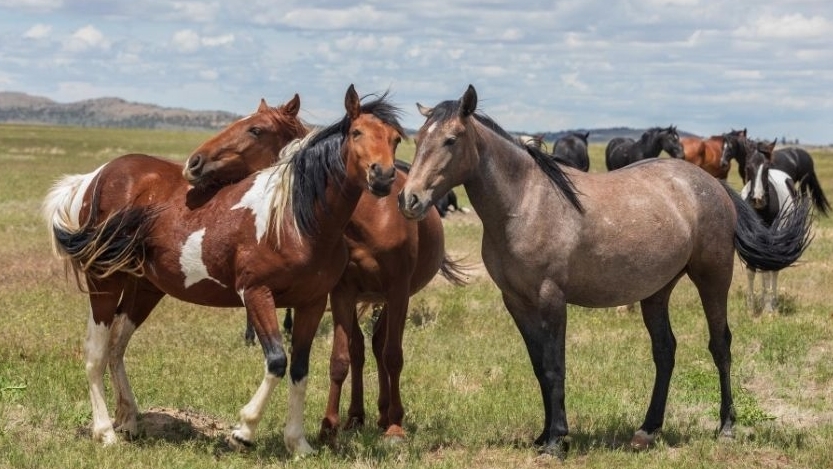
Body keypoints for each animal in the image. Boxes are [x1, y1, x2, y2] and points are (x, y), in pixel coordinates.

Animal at [740, 139, 812, 314]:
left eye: (766, 168)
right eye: (748, 167)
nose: (757, 199)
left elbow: (768, 272)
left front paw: (767, 309)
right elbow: (751, 271)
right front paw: (751, 308)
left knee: (773, 271)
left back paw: (772, 303)